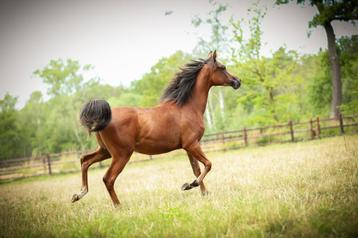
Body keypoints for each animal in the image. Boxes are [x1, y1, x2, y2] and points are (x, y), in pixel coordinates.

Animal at [71, 51, 241, 205]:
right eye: (222, 67)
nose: (237, 81)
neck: (187, 108)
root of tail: (104, 118)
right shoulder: (192, 144)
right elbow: (208, 164)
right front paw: (190, 185)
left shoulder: (188, 147)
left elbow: (197, 169)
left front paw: (202, 192)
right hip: (121, 155)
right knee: (108, 178)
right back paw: (118, 206)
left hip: (105, 151)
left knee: (85, 161)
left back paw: (78, 195)